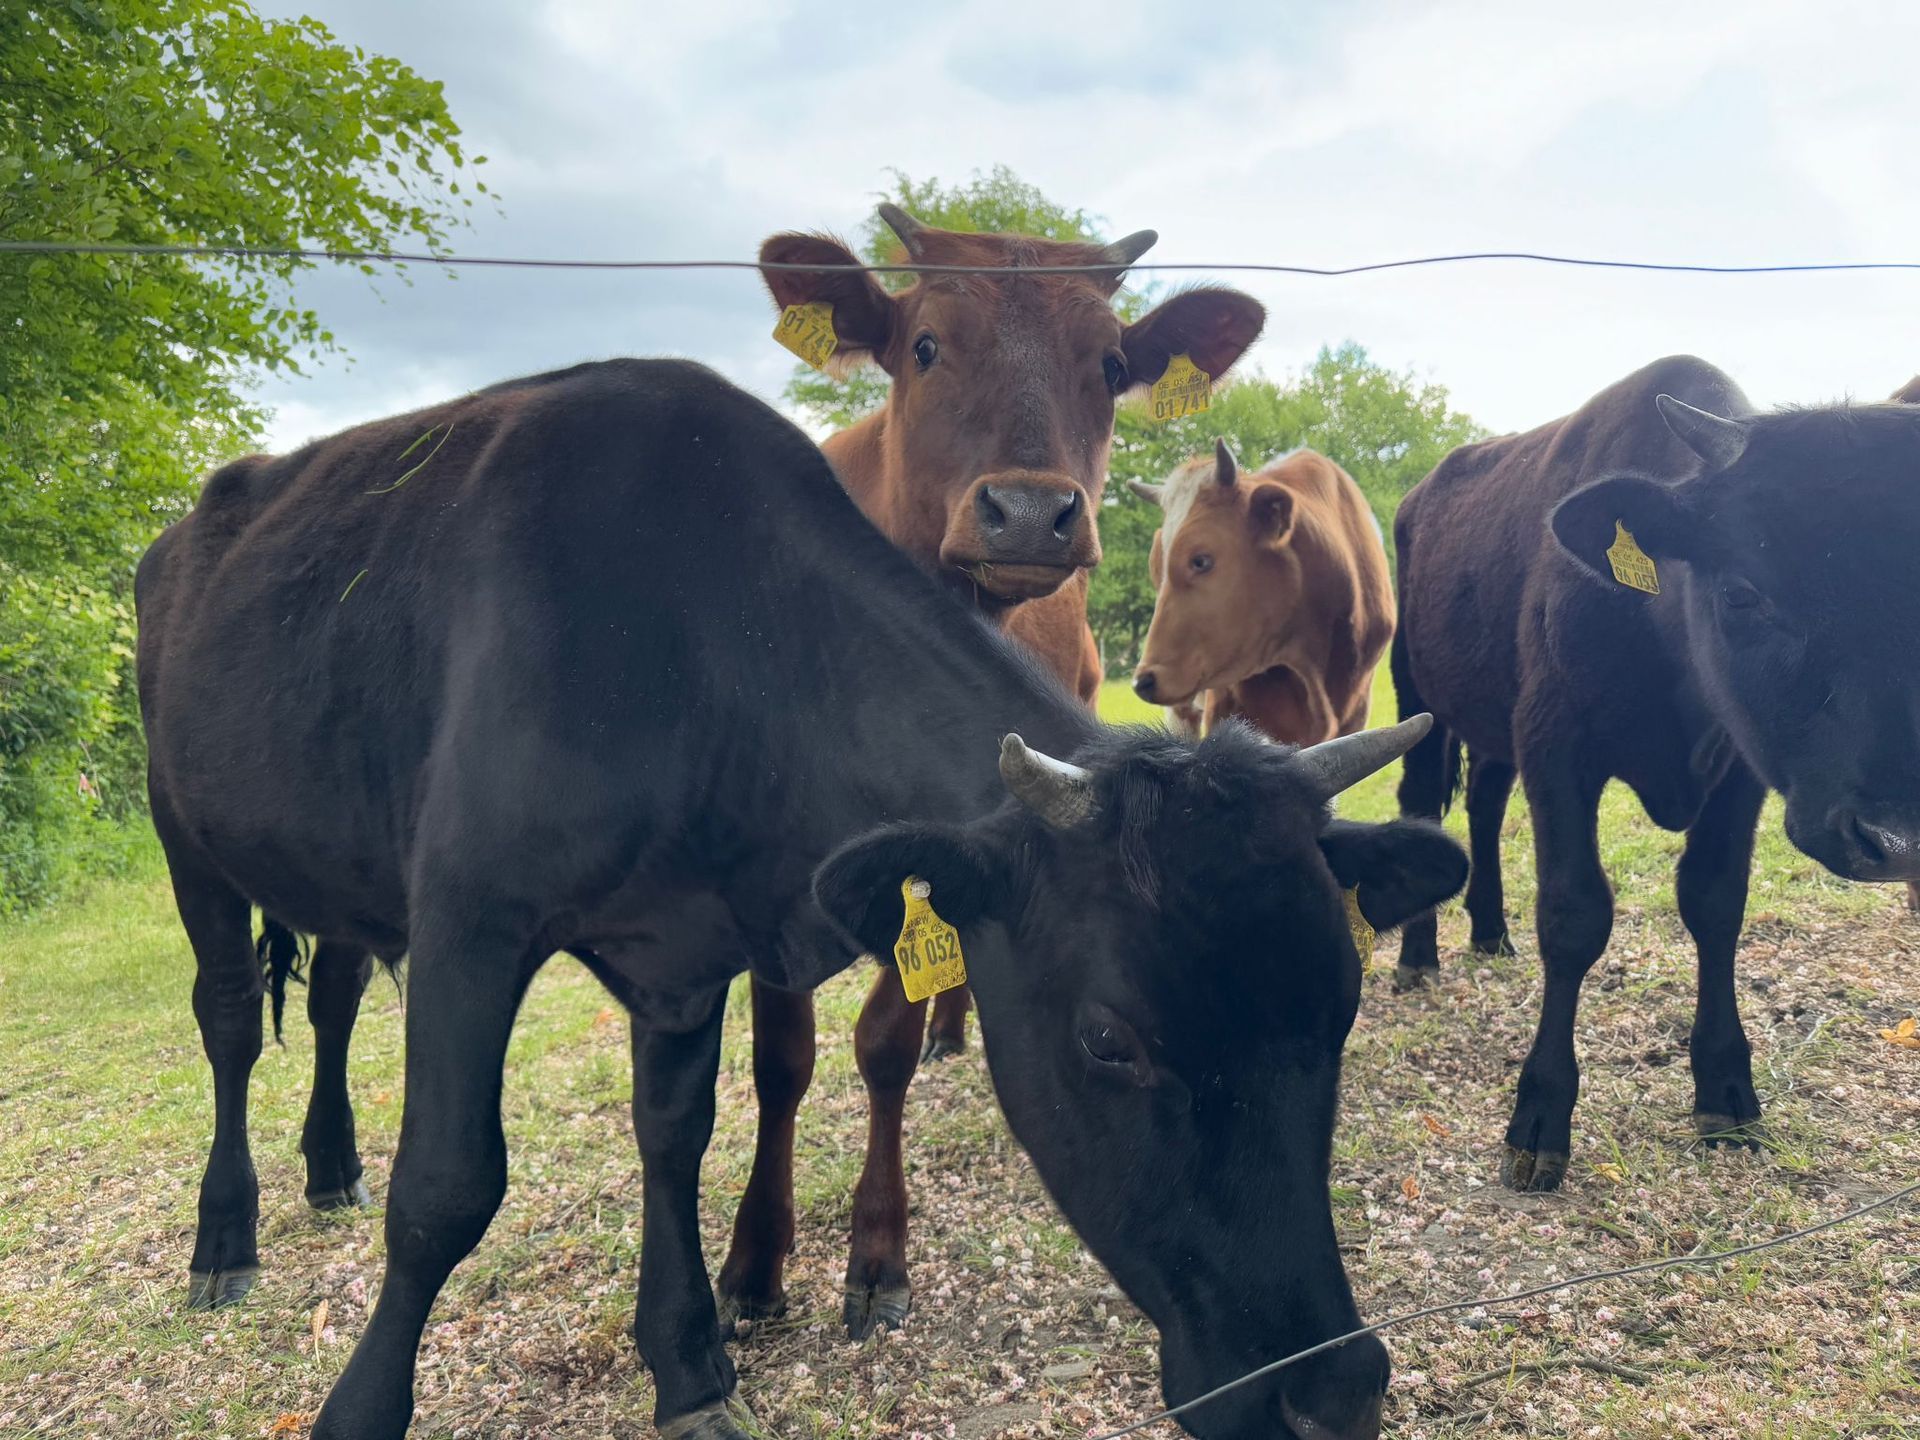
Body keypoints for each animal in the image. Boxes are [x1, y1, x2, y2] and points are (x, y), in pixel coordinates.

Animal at [726, 208, 1266, 1338]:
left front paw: (876, 1249)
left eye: (1112, 366)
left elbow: (881, 1041)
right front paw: (753, 1262)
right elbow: (781, 1059)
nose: (1027, 511)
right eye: (925, 345)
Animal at [1389, 354, 1920, 1193]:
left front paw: (1727, 1091)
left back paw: (1490, 932)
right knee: (1423, 803)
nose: (1896, 839)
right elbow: (1574, 916)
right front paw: (1539, 1117)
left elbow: (1715, 903)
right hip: (1416, 690)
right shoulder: (1555, 741)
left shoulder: (1741, 769)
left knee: (1484, 801)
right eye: (1741, 592)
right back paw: (1418, 956)